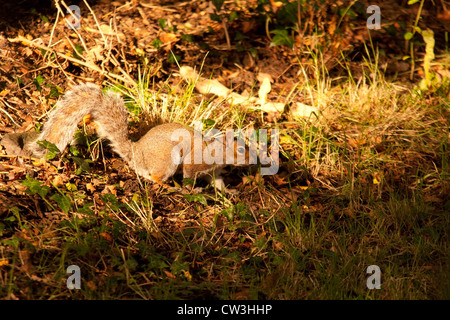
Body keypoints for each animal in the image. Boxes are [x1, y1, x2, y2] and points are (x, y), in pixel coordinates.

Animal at [0, 84, 255, 191]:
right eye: (241, 149)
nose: (254, 160)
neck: (216, 153)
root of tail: (135, 152)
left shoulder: (214, 171)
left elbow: (218, 183)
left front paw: (228, 193)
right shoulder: (195, 163)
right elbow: (190, 177)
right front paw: (192, 190)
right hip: (167, 160)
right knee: (153, 176)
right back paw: (169, 186)